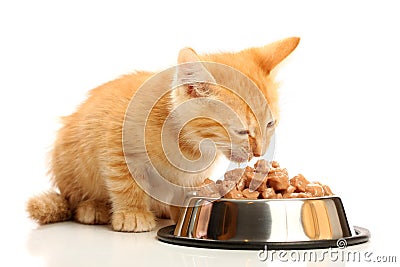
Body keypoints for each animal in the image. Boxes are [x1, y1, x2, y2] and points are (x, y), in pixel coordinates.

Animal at [26, 37, 298, 232]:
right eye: (241, 130)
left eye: (270, 124)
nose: (259, 152)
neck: (191, 144)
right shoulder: (116, 147)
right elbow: (125, 182)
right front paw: (133, 213)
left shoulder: (191, 176)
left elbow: (184, 190)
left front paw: (180, 215)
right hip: (69, 161)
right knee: (75, 198)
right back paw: (93, 208)